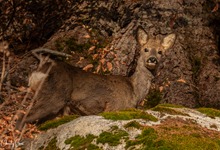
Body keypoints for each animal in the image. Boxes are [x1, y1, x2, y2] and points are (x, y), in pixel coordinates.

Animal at [15, 27, 176, 130]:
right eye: (145, 49)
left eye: (160, 52)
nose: (152, 59)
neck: (135, 91)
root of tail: (40, 69)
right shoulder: (113, 107)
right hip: (54, 95)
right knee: (22, 119)